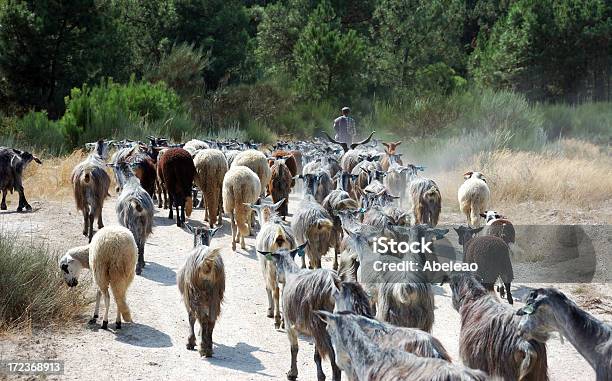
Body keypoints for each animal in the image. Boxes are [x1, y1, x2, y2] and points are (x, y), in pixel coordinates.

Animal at [258, 243, 342, 380]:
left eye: (275, 264)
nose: (278, 279)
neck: (292, 272)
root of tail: (332, 284)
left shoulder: (290, 324)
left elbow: (294, 349)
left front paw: (292, 373)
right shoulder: (314, 331)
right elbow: (316, 356)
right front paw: (320, 376)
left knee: (335, 363)